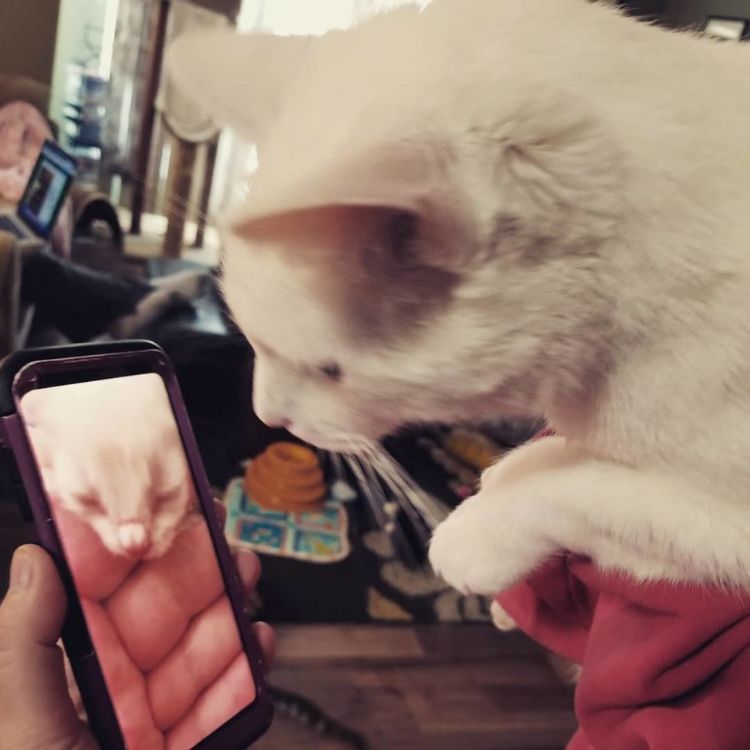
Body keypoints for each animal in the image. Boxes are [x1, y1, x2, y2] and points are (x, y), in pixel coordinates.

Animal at [166, 0, 750, 596]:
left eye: (329, 371)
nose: (267, 417)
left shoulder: (724, 518)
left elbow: (588, 496)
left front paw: (473, 538)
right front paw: (516, 466)